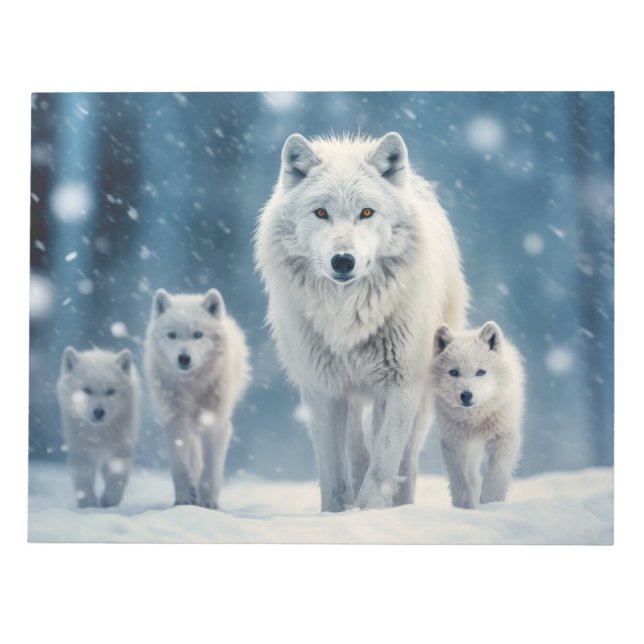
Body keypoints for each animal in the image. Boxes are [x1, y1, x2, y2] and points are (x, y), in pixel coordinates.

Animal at [56, 347, 139, 508]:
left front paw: (108, 501)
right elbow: (83, 481)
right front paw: (89, 504)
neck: (99, 434)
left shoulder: (120, 448)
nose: (99, 412)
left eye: (110, 391)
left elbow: (117, 477)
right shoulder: (81, 450)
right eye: (87, 390)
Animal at [144, 288, 250, 509]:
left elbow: (212, 468)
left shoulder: (217, 425)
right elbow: (180, 467)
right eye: (172, 335)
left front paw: (207, 502)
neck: (191, 387)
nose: (184, 358)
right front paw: (185, 499)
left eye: (198, 334)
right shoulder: (176, 423)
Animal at [255, 132, 468, 511]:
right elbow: (333, 471)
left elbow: (384, 464)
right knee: (356, 450)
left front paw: (370, 510)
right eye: (321, 213)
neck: (348, 314)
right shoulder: (322, 390)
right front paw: (336, 513)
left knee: (406, 460)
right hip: (349, 394)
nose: (343, 261)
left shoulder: (401, 385)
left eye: (366, 212)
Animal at [431, 321, 525, 509]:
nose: (466, 395)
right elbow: (459, 478)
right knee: (473, 476)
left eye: (480, 372)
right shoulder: (453, 443)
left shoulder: (504, 437)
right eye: (454, 372)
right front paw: (464, 505)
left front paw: (491, 503)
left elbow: (496, 473)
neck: (475, 419)